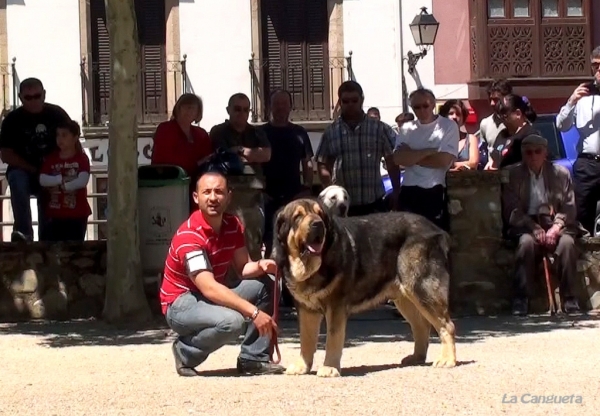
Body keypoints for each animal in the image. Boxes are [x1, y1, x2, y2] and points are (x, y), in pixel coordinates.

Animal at [270, 198, 454, 376]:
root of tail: (437, 229)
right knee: (421, 326)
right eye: (297, 216)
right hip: (405, 298)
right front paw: (302, 367)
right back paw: (417, 357)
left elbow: (333, 338)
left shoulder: (336, 307)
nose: (317, 224)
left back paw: (448, 360)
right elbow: (306, 340)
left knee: (446, 326)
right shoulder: (306, 309)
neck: (310, 267)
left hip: (422, 289)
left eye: (320, 214)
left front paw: (329, 368)